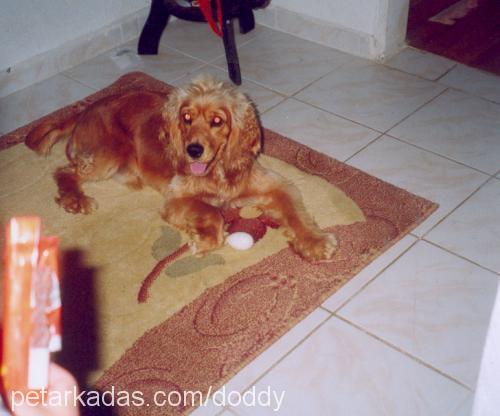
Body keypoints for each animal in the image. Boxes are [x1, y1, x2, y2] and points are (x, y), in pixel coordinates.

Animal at [28, 76, 340, 262]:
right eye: (187, 118)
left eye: (217, 121)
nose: (193, 151)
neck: (217, 171)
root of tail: (85, 109)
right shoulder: (176, 199)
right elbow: (212, 212)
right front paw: (203, 241)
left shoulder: (275, 185)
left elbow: (295, 214)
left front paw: (315, 242)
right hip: (108, 155)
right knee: (65, 171)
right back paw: (75, 200)